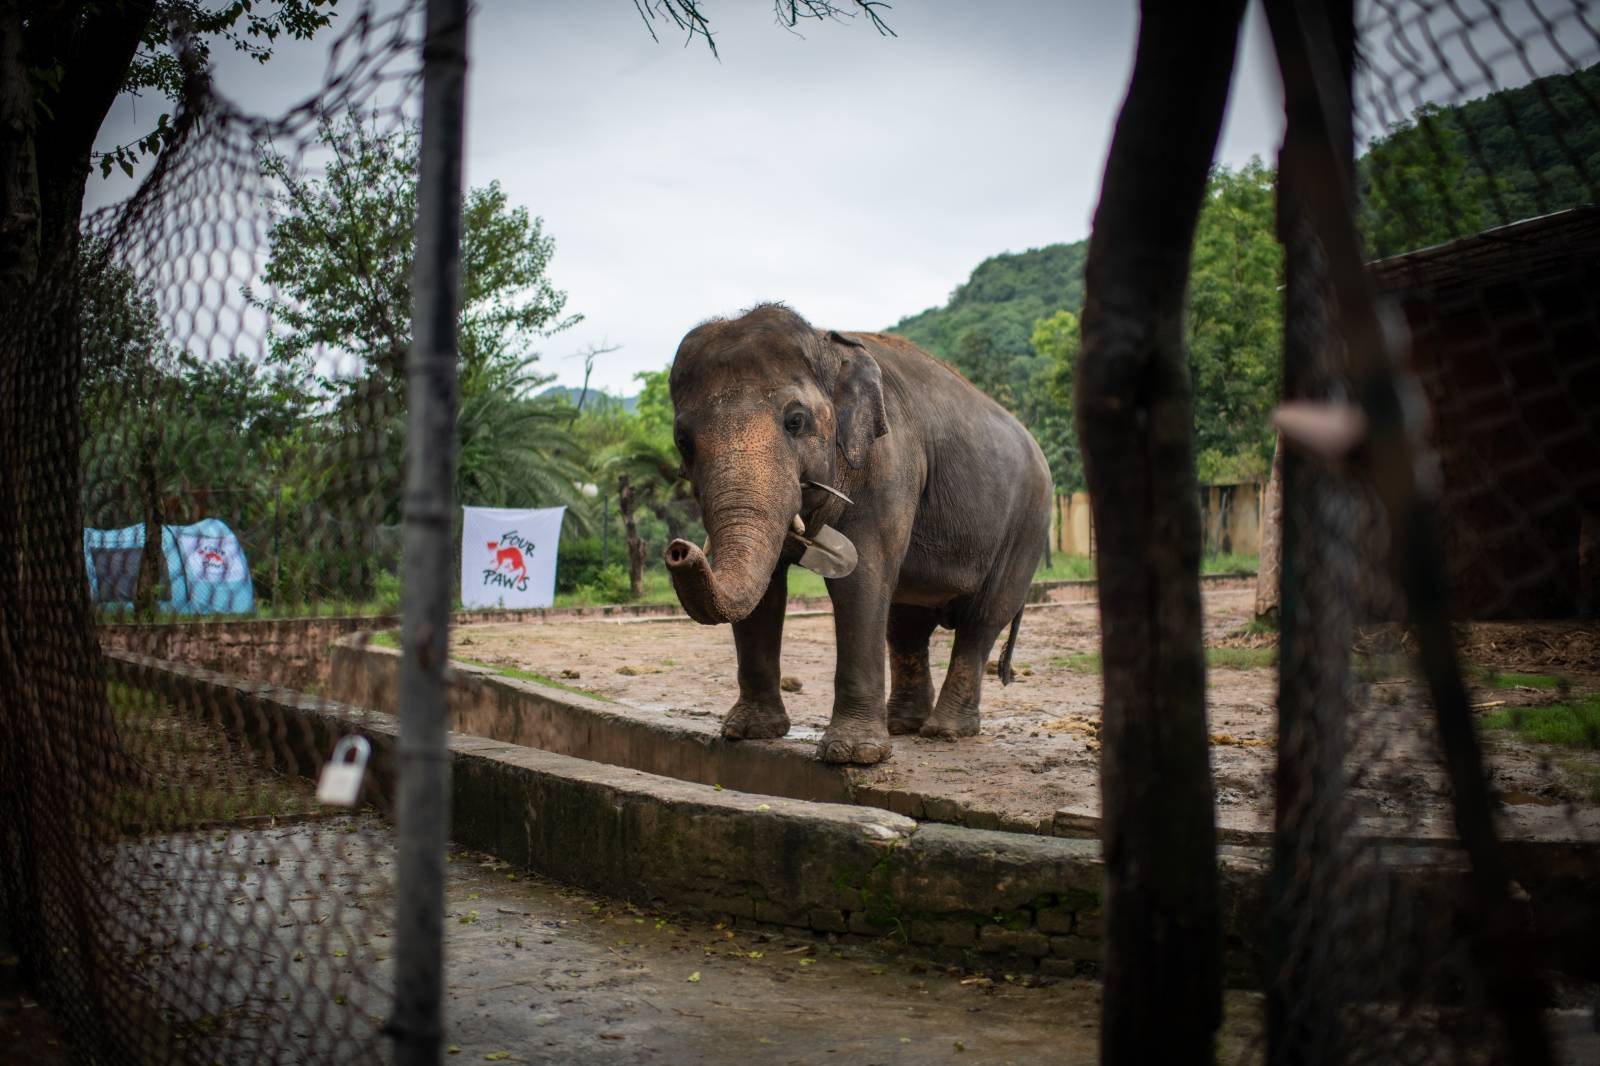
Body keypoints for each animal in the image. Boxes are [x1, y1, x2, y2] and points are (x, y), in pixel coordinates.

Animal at [662, 302, 1049, 758]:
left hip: (1027, 525)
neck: (827, 342)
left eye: (796, 421)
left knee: (981, 620)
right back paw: (904, 725)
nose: (679, 549)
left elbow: (860, 578)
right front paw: (748, 732)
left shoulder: (890, 463)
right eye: (683, 441)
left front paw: (852, 755)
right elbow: (767, 591)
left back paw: (946, 732)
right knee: (906, 622)